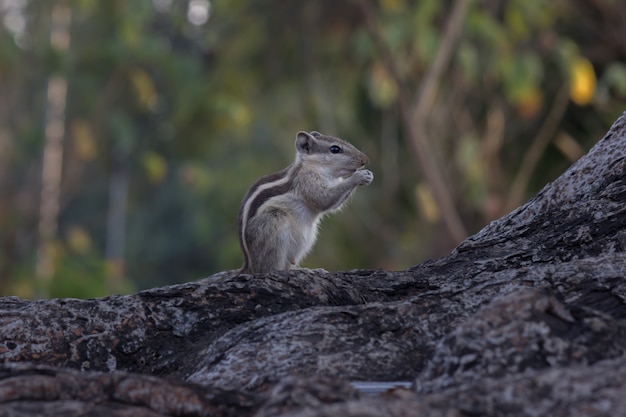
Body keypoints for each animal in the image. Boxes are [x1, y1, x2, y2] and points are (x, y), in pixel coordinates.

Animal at [235, 130, 370, 272]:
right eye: (335, 149)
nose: (365, 160)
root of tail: (249, 265)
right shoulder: (307, 180)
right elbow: (323, 199)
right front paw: (358, 176)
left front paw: (368, 175)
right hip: (272, 224)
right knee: (267, 267)